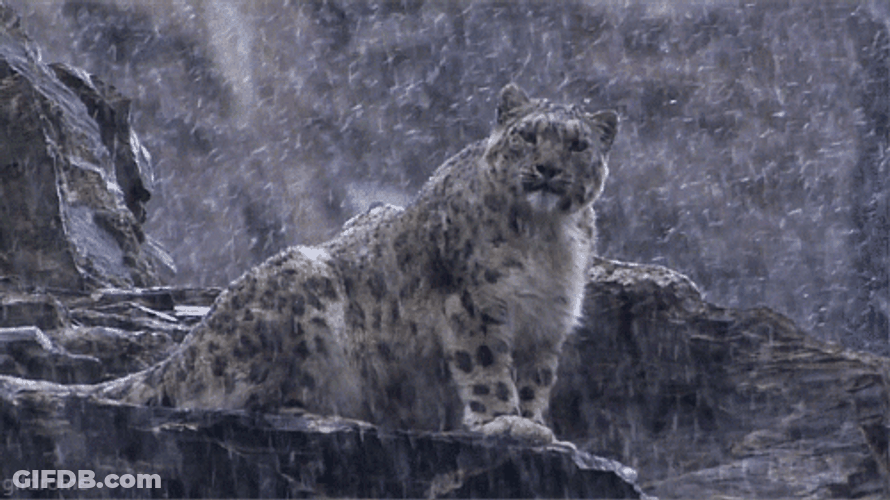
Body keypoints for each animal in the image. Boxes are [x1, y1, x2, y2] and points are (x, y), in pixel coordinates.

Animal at [96, 83, 619, 443]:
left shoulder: (547, 322)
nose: (548, 169)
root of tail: (185, 350)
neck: (546, 239)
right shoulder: (476, 303)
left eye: (578, 145)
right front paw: (503, 422)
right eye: (527, 136)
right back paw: (328, 417)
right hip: (299, 294)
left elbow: (534, 380)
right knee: (242, 400)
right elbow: (487, 365)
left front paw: (534, 422)